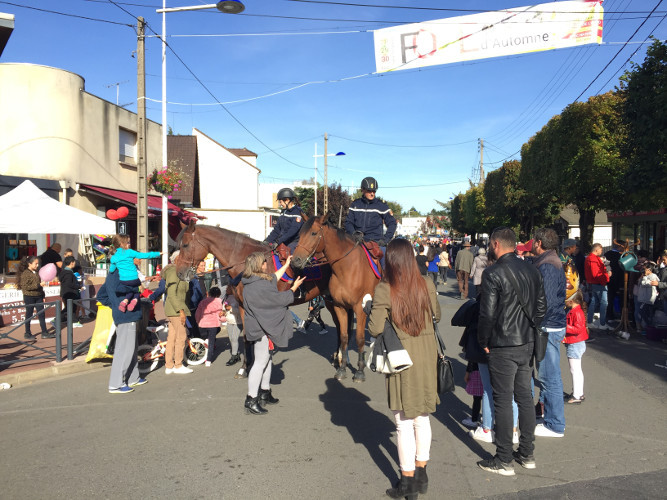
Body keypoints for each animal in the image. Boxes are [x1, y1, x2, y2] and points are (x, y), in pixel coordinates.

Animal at [290, 215, 380, 382]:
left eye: (313, 233)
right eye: (300, 234)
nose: (295, 261)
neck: (348, 269)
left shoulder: (360, 308)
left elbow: (359, 338)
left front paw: (360, 371)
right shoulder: (340, 306)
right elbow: (344, 336)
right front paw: (342, 368)